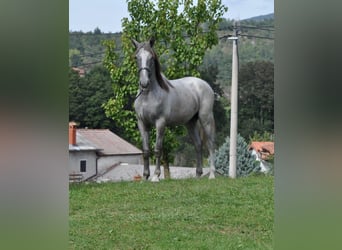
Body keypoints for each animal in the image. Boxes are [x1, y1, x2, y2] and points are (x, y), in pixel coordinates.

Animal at [132, 37, 215, 182]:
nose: (144, 83)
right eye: (137, 57)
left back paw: (212, 175)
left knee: (210, 145)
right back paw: (198, 175)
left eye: (151, 58)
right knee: (198, 145)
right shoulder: (142, 123)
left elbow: (158, 149)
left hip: (206, 119)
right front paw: (145, 177)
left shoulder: (160, 123)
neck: (148, 95)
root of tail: (204, 84)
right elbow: (146, 150)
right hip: (190, 123)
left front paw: (155, 176)